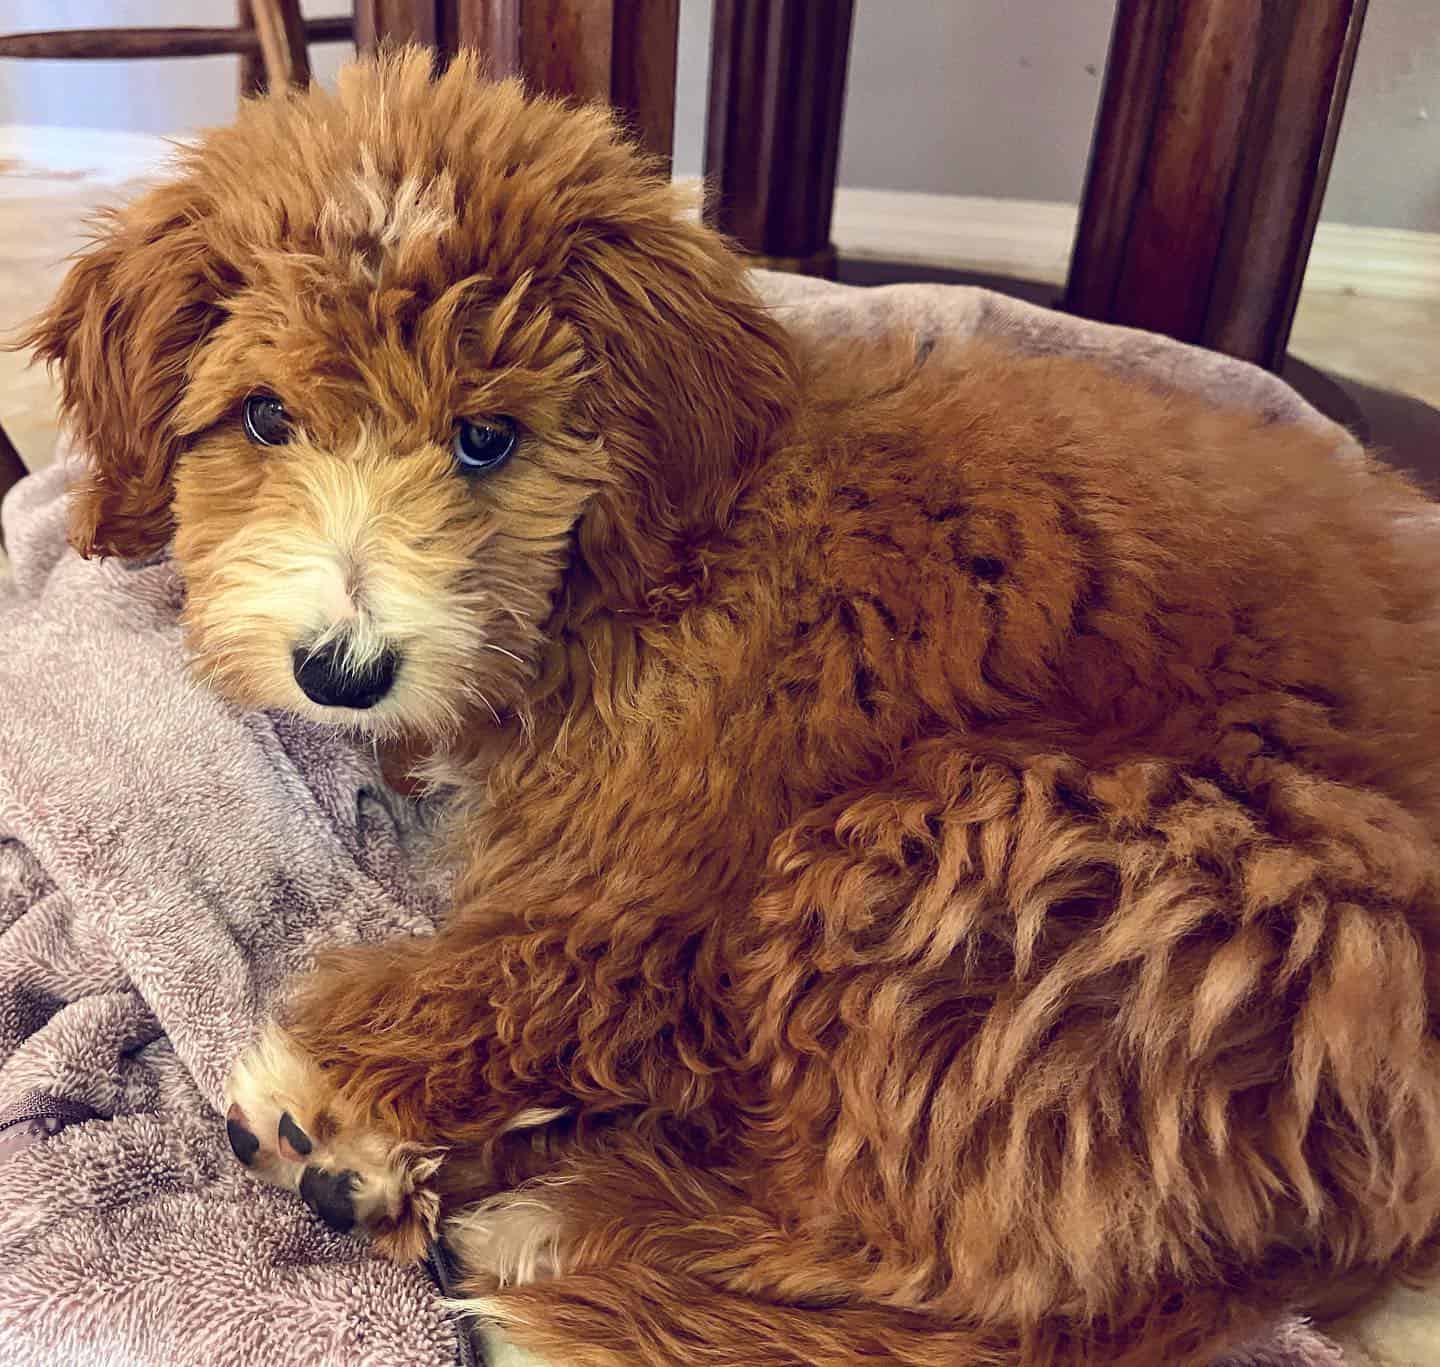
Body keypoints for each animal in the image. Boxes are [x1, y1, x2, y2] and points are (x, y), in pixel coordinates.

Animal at [25, 45, 1440, 1365]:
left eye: (487, 437)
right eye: (265, 415)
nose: (342, 670)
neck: (650, 554)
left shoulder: (661, 852)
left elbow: (536, 957)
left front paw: (324, 1092)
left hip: (1018, 850)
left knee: (935, 1269)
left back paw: (546, 1261)